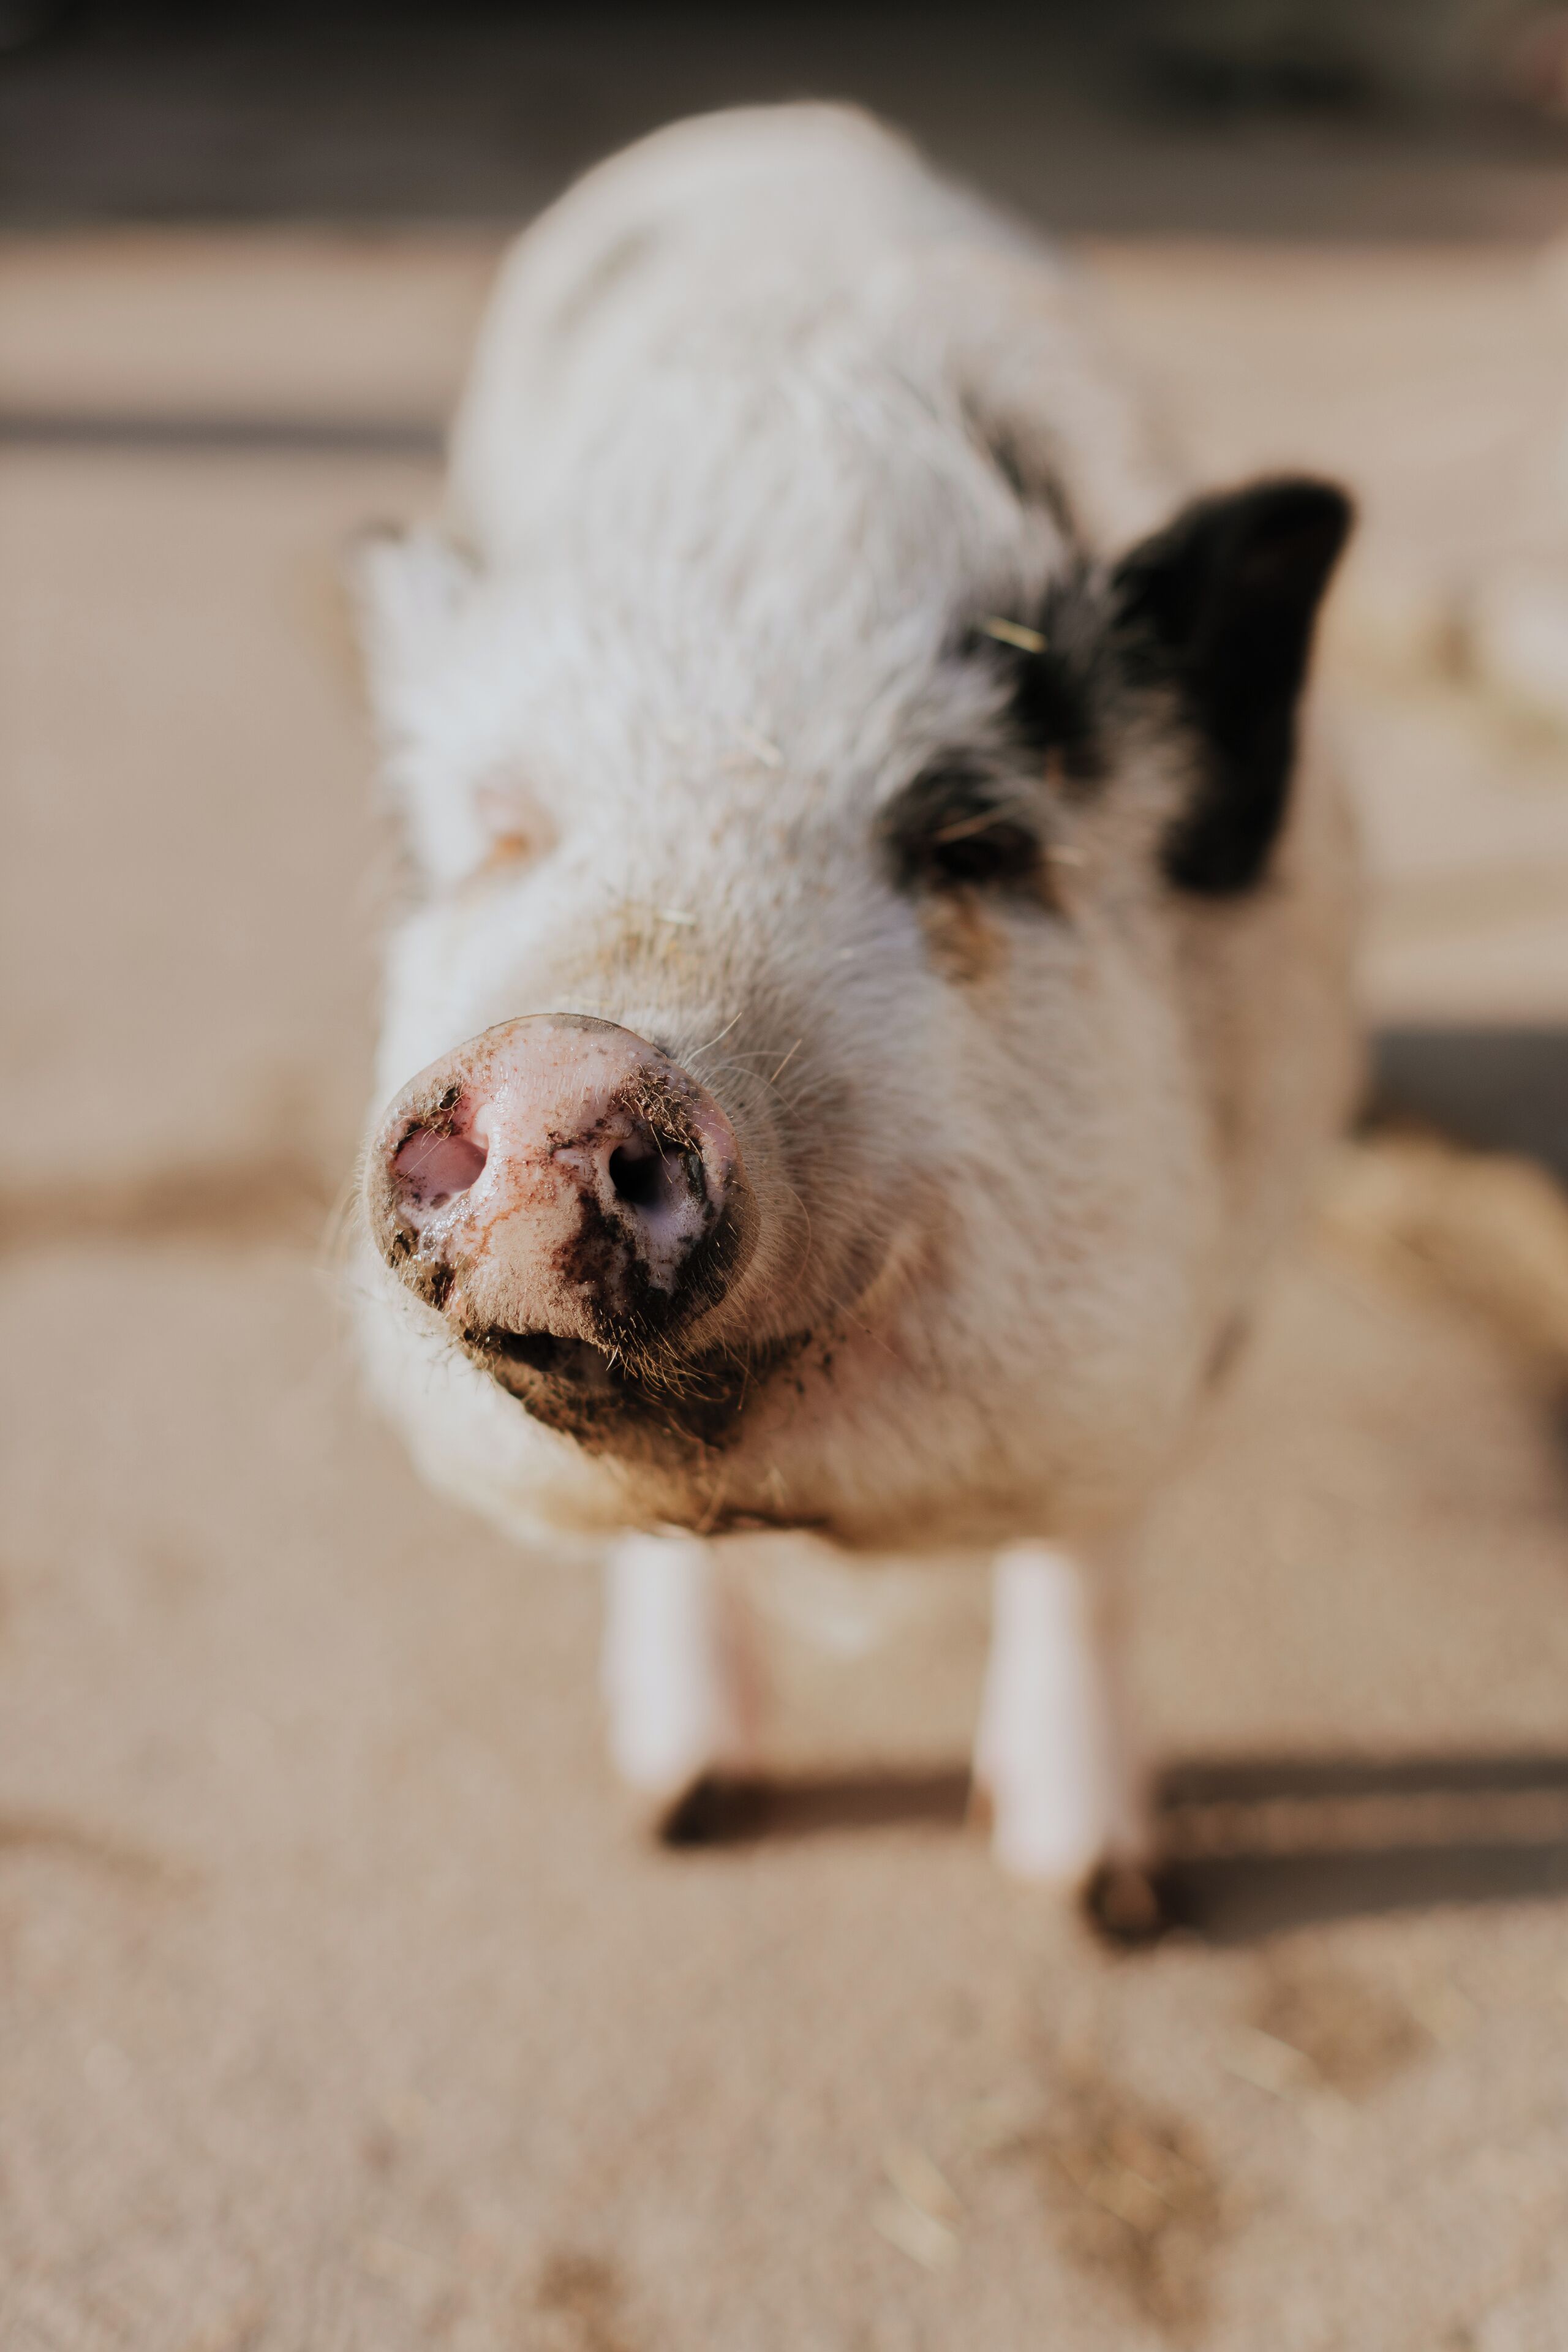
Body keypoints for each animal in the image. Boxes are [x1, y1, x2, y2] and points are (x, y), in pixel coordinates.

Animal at [352, 103, 1358, 1922]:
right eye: (512, 833)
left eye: (969, 843)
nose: (565, 1056)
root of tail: (772, 119)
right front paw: (680, 1815)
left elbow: (1088, 1546)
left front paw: (1100, 1903)